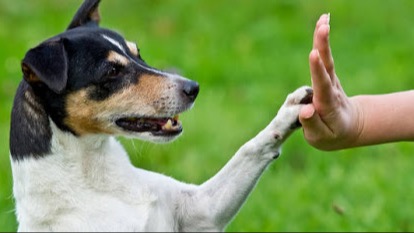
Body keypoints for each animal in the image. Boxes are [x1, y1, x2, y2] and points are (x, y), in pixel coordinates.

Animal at [9, 0, 312, 231]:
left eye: (138, 54)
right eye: (112, 72)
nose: (193, 88)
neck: (96, 178)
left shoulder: (202, 210)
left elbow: (249, 149)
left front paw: (290, 111)